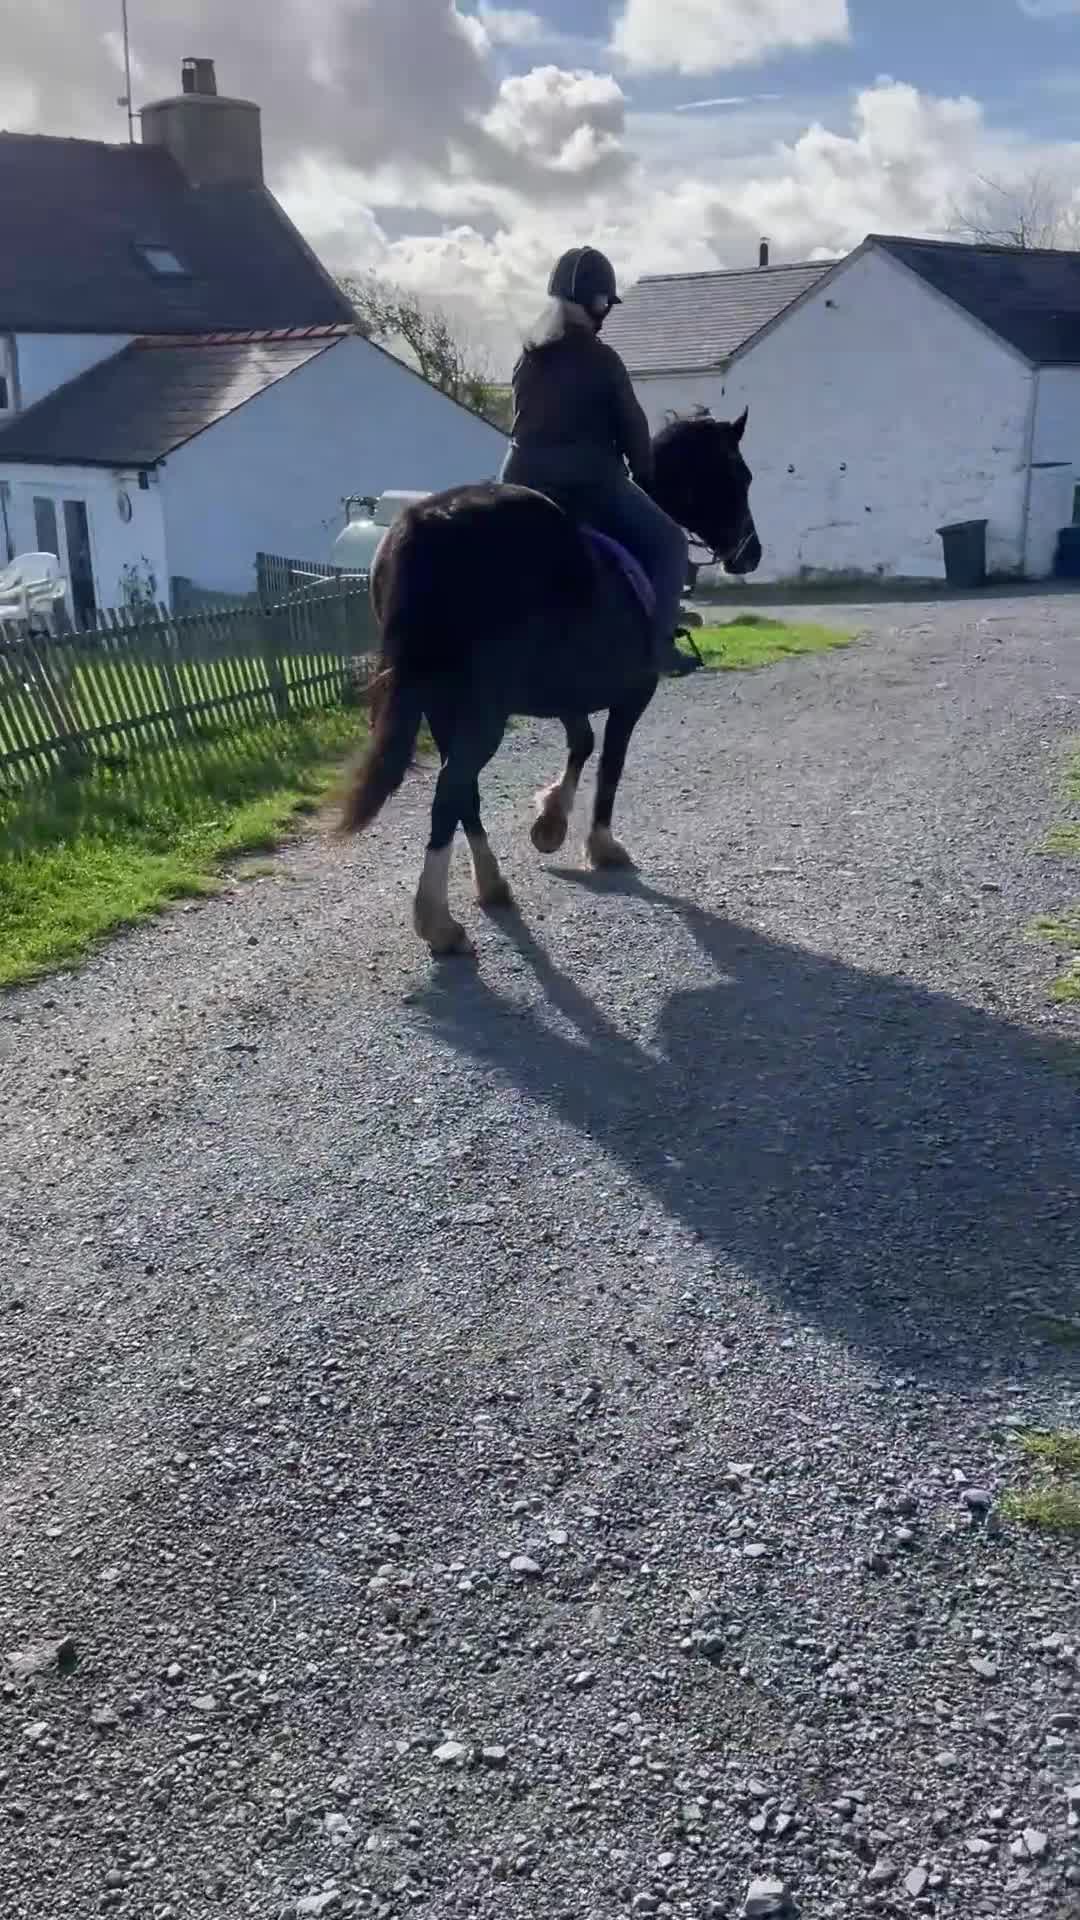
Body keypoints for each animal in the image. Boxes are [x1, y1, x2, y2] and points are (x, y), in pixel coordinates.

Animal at [339, 409, 761, 955]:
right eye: (739, 476)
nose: (751, 553)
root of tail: (425, 522)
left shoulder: (566, 695)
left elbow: (582, 743)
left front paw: (550, 822)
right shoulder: (633, 694)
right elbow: (610, 763)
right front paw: (601, 844)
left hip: (444, 706)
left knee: (463, 793)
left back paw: (491, 884)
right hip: (481, 711)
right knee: (450, 793)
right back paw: (438, 922)